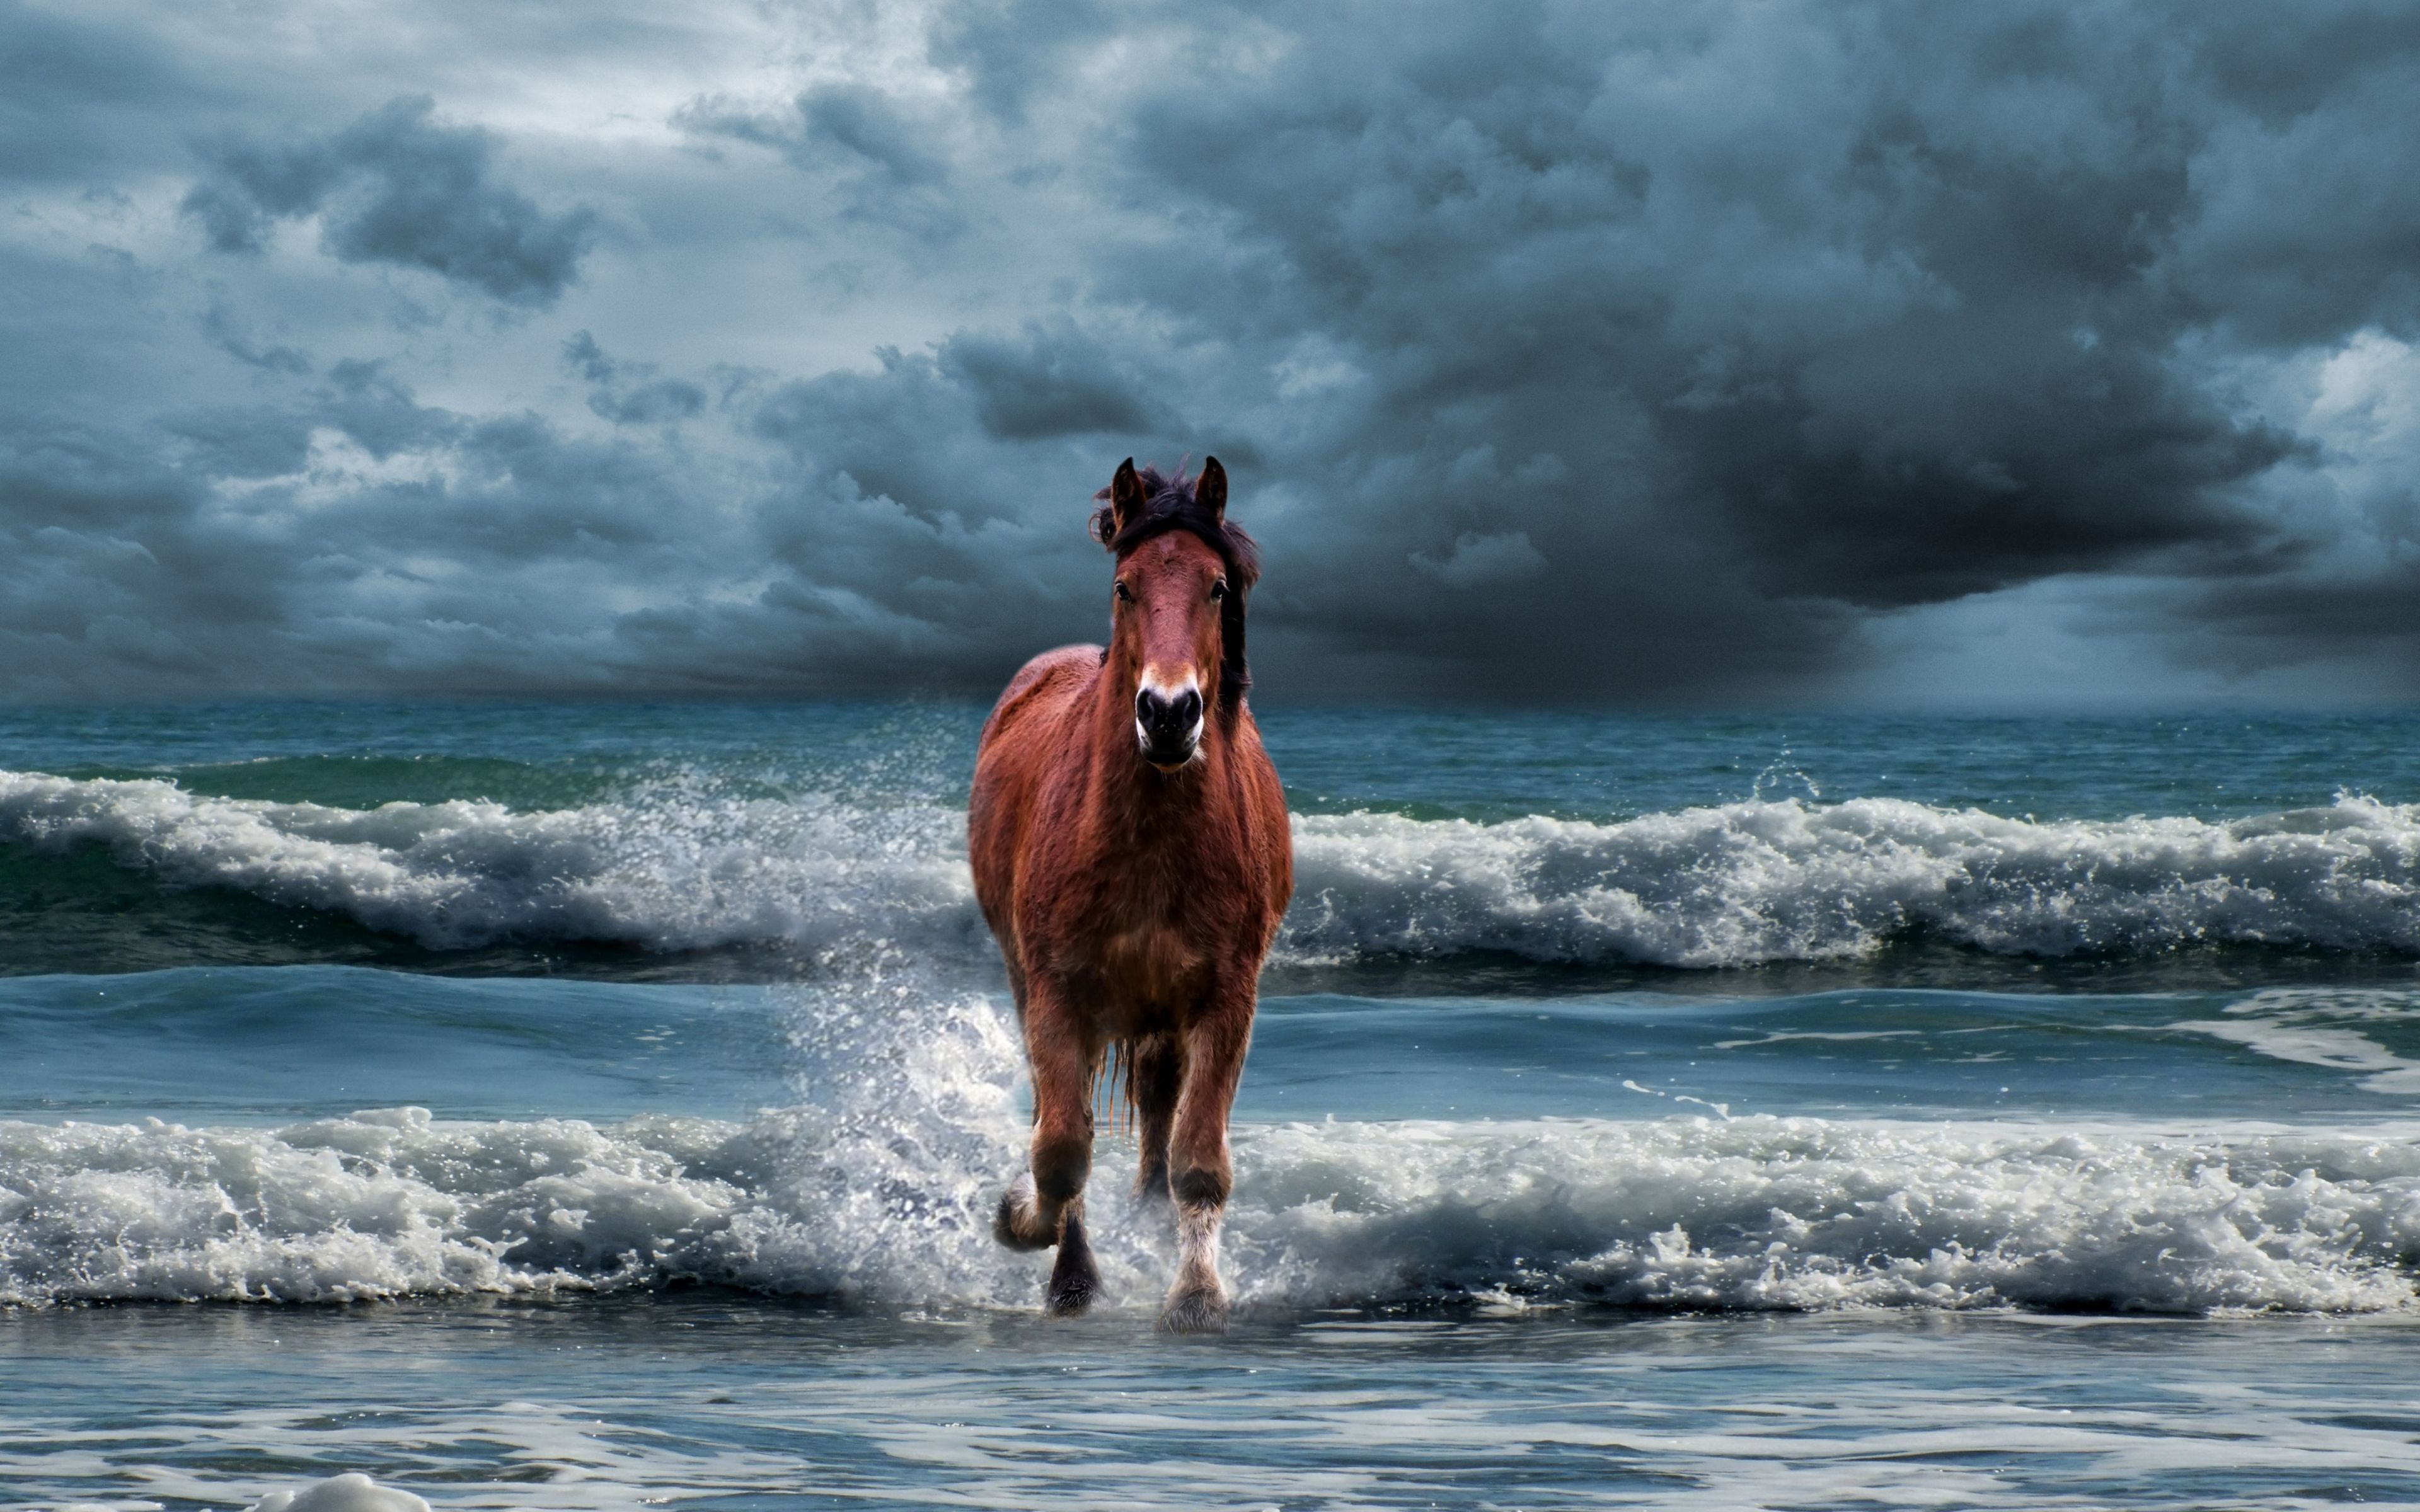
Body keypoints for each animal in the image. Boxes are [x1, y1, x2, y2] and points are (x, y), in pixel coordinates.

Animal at [972, 454, 1297, 1326]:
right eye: (1125, 586)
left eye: (1216, 587)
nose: (1169, 713)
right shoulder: (1058, 994)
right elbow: (1059, 1149)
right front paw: (1033, 1237)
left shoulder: (1227, 999)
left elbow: (1198, 1159)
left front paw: (1197, 1294)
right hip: (1032, 982)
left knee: (1157, 1109)